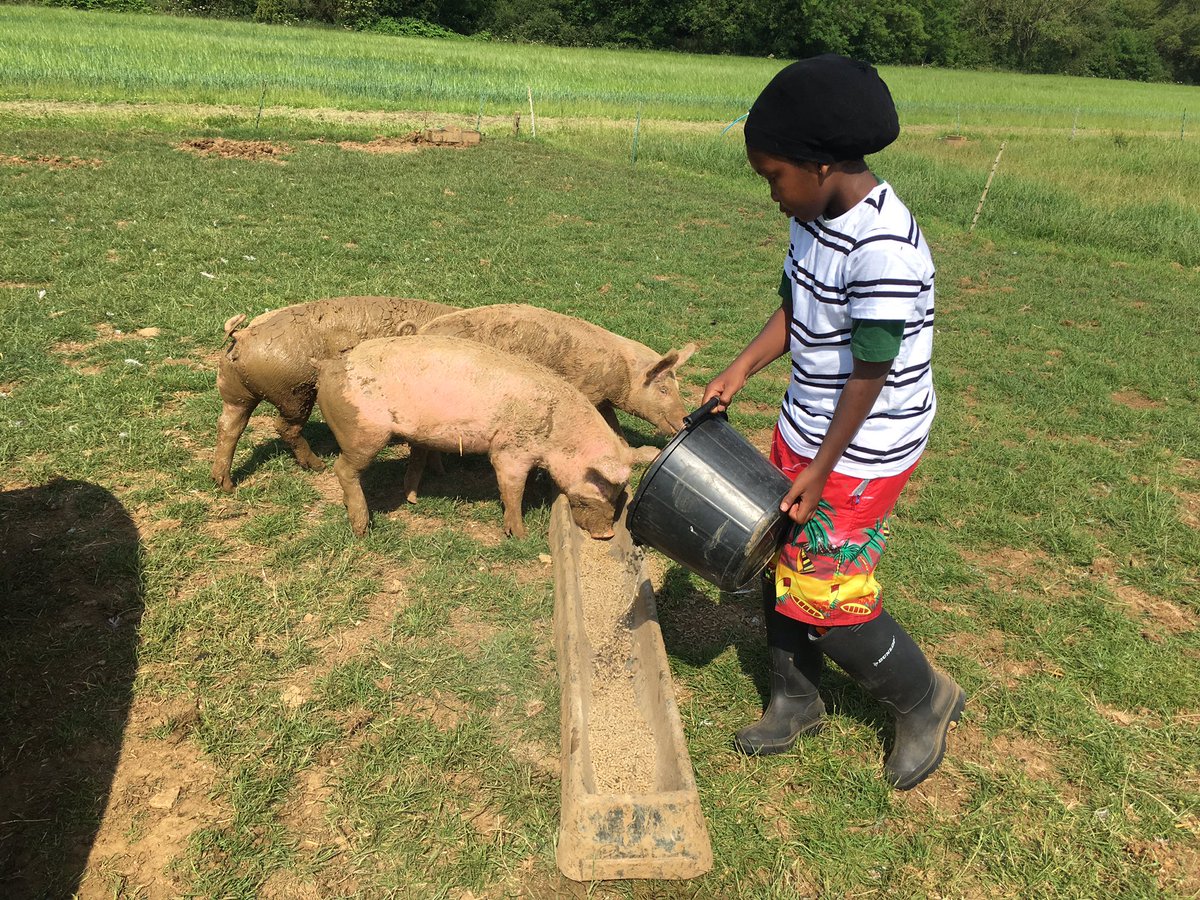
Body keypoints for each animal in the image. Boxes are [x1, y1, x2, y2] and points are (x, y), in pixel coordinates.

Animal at [211, 295, 458, 492]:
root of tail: (241, 335)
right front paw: (442, 472)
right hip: (295, 394)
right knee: (284, 427)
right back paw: (318, 466)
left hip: (235, 394)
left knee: (228, 426)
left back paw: (226, 485)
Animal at [317, 335, 633, 540]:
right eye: (602, 486)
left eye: (620, 494)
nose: (606, 534)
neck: (560, 433)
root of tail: (328, 367)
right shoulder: (509, 451)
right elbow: (512, 490)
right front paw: (521, 536)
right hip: (364, 432)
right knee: (343, 469)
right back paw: (362, 529)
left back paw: (410, 500)